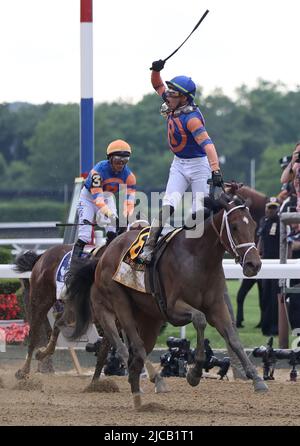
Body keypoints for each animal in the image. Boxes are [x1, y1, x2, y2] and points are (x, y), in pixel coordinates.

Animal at [67, 192, 268, 408]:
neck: (198, 257)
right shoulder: (173, 308)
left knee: (128, 347)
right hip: (118, 304)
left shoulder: (217, 306)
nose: (254, 264)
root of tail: (104, 255)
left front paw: (257, 379)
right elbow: (199, 319)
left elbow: (233, 338)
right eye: (235, 226)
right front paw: (194, 373)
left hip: (149, 318)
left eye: (254, 226)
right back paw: (154, 381)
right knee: (130, 345)